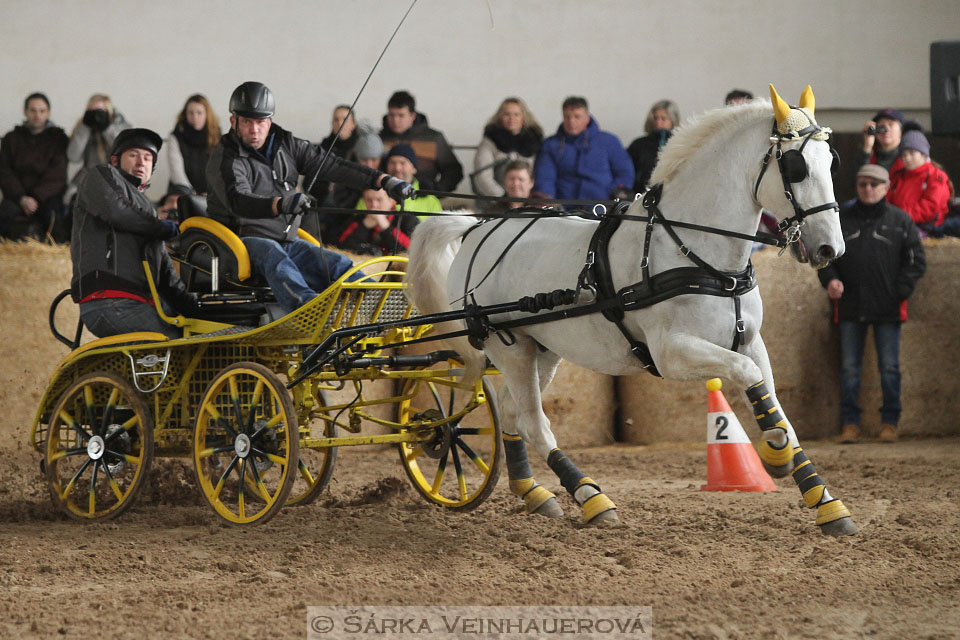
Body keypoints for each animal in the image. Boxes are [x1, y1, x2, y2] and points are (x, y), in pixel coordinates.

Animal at [404, 85, 856, 536]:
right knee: (534, 423)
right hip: (508, 346)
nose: (830, 249)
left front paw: (824, 501)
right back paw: (590, 497)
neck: (700, 256)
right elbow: (748, 378)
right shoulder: (672, 353)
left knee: (514, 416)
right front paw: (776, 452)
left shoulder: (750, 341)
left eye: (831, 160)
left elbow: (774, 403)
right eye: (796, 167)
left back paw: (534, 493)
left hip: (541, 350)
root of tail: (476, 226)